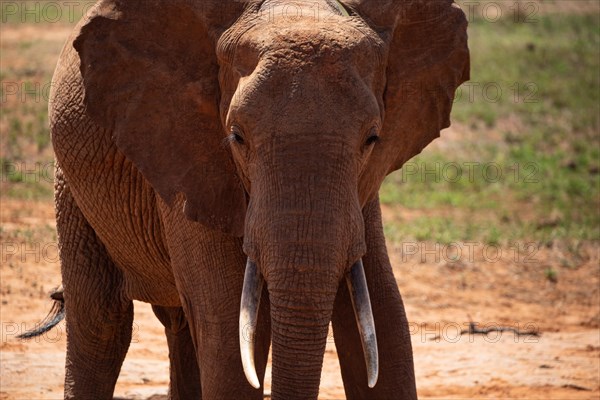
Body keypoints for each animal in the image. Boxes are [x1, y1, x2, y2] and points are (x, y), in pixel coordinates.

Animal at [22, 0, 468, 398]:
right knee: (102, 322)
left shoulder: (361, 190)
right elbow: (226, 334)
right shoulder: (188, 155)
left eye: (372, 138)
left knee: (179, 326)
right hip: (71, 182)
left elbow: (386, 322)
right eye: (236, 137)